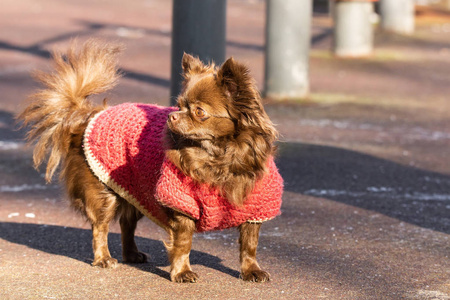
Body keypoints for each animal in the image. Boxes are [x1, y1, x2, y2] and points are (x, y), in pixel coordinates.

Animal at [20, 38, 282, 282]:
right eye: (179, 105)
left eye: (199, 111)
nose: (172, 117)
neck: (219, 158)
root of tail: (87, 117)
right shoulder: (181, 204)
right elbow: (183, 243)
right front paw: (182, 272)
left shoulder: (255, 208)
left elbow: (249, 245)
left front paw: (251, 270)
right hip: (104, 193)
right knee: (101, 227)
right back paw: (104, 258)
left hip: (135, 189)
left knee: (127, 224)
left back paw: (131, 255)